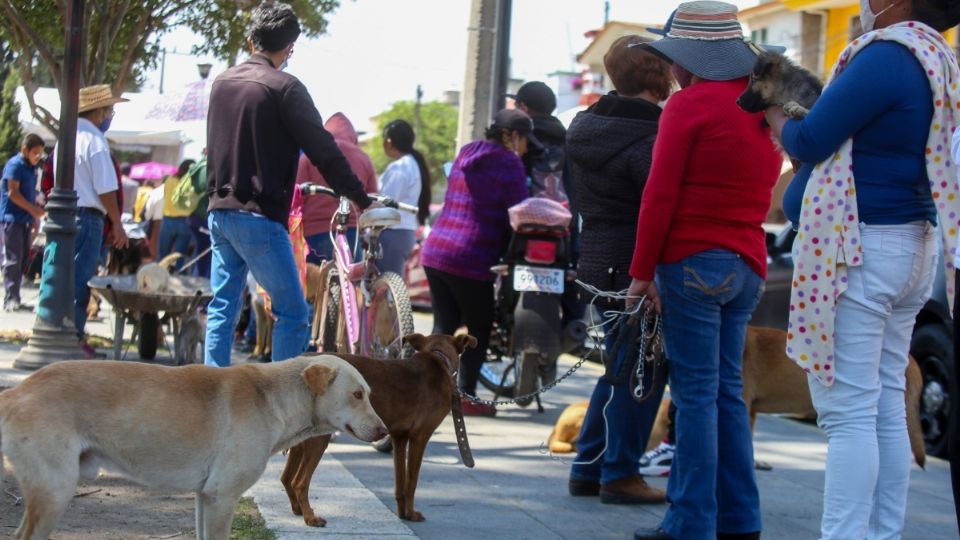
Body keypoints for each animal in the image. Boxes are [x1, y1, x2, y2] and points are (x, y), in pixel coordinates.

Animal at [2, 354, 390, 540]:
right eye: (357, 395)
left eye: (370, 394)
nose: (385, 431)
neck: (273, 398)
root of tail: (18, 390)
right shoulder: (223, 498)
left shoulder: (206, 497)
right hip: (55, 491)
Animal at [282, 332, 480, 524]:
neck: (438, 357)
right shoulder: (420, 437)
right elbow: (412, 481)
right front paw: (411, 513)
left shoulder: (399, 438)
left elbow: (400, 482)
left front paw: (402, 514)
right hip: (319, 438)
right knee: (299, 482)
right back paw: (310, 517)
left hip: (300, 438)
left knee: (286, 478)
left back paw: (298, 510)